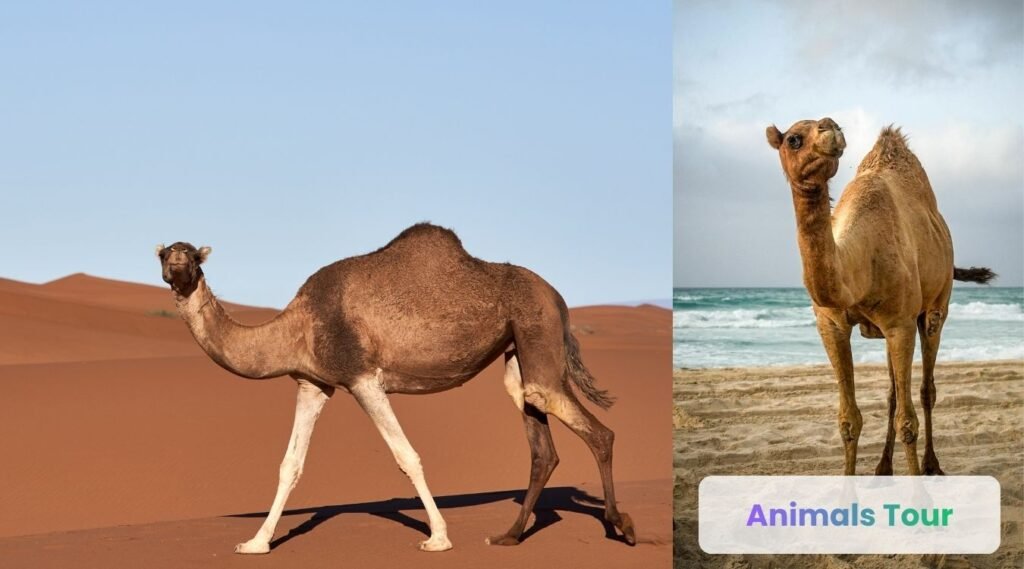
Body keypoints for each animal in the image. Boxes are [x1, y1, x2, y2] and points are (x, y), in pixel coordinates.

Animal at [156, 223, 635, 554]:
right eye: (162, 253)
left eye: (194, 255)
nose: (177, 262)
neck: (298, 324)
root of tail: (558, 297)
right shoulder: (314, 383)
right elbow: (289, 465)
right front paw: (255, 543)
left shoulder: (363, 377)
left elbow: (407, 457)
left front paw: (438, 538)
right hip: (518, 349)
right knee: (541, 443)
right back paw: (509, 536)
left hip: (538, 330)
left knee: (591, 427)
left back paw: (622, 526)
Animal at [765, 118, 995, 475]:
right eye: (794, 139)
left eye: (831, 124)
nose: (830, 128)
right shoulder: (831, 324)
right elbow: (849, 420)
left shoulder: (900, 324)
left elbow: (908, 422)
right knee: (892, 393)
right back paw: (883, 466)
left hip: (936, 308)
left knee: (926, 388)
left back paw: (932, 465)